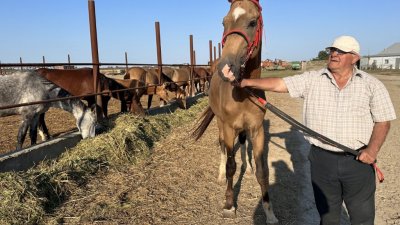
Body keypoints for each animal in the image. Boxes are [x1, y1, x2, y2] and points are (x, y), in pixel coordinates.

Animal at [192, 0, 276, 223]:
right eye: (224, 22)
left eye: (253, 22)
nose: (226, 68)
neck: (243, 93)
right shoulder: (229, 127)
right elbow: (231, 166)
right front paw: (229, 205)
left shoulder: (257, 130)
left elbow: (263, 171)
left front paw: (269, 211)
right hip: (221, 124)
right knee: (222, 145)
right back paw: (221, 174)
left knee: (243, 143)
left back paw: (248, 167)